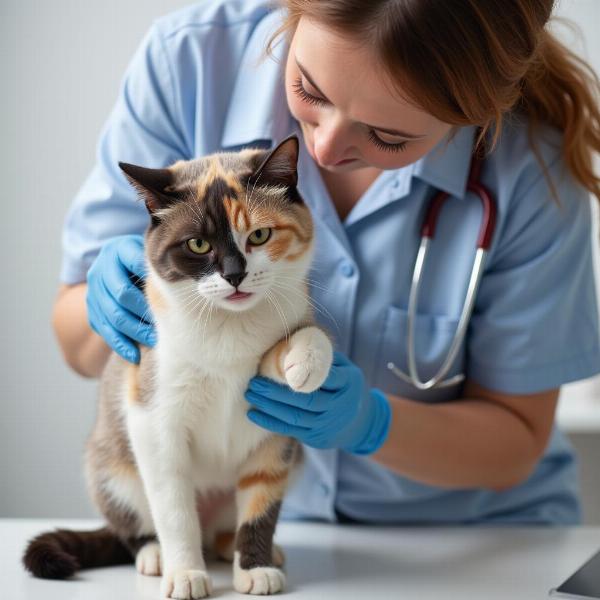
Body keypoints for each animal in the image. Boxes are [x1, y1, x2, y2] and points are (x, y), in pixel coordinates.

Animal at [22, 134, 332, 596]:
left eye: (259, 235)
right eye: (198, 245)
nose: (235, 275)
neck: (228, 325)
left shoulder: (274, 436)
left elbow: (260, 508)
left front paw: (254, 568)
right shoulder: (154, 417)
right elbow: (174, 511)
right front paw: (185, 573)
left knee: (226, 526)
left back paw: (241, 548)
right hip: (112, 473)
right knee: (137, 527)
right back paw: (154, 555)